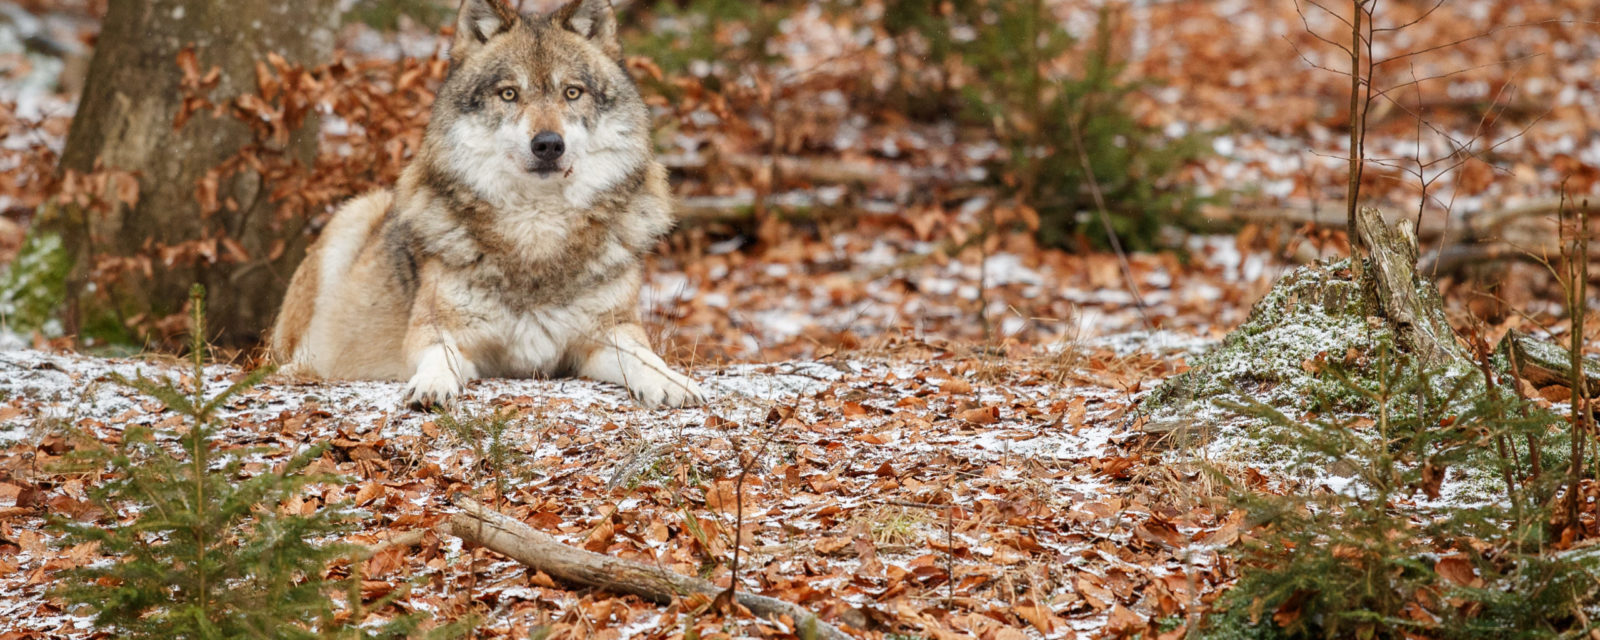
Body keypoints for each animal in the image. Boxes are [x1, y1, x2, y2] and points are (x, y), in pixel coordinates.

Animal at [270, 0, 707, 409]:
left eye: (572, 92)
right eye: (509, 94)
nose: (548, 145)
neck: (537, 232)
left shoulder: (608, 334)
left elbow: (644, 358)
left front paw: (671, 381)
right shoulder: (436, 332)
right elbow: (439, 357)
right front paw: (432, 385)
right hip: (353, 214)